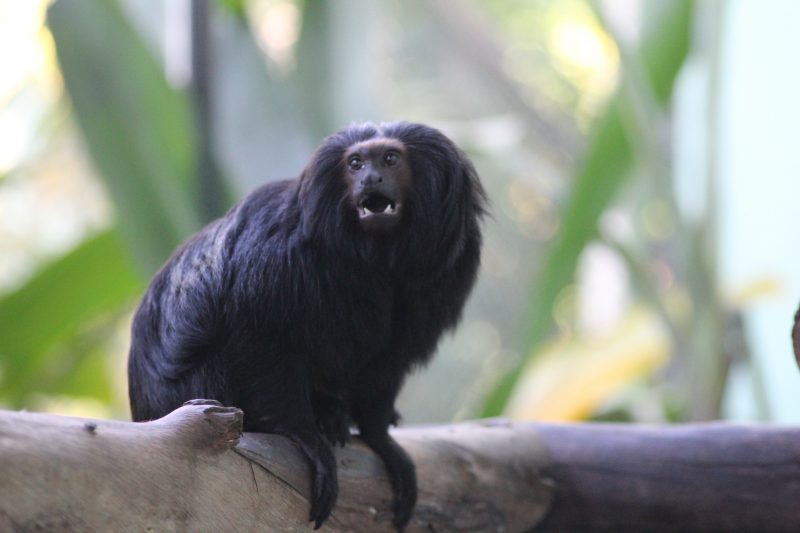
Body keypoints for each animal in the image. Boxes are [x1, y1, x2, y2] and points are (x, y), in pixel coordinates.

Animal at [128, 121, 484, 528]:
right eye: (356, 163)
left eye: (390, 159)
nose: (370, 178)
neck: (376, 262)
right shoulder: (277, 257)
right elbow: (259, 338)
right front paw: (304, 434)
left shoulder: (440, 278)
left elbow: (386, 364)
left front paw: (379, 435)